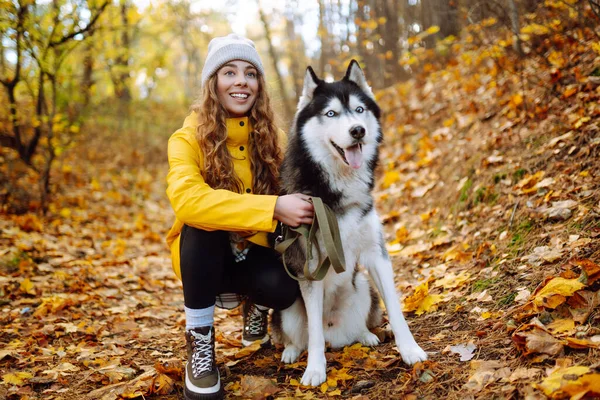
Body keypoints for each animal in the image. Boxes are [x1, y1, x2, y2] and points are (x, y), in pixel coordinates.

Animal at [272, 61, 426, 386]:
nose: (358, 131)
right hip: (287, 309)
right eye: (331, 113)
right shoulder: (310, 268)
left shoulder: (376, 256)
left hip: (364, 287)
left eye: (358, 109)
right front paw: (315, 370)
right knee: (303, 337)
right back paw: (292, 351)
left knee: (358, 326)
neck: (338, 186)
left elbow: (396, 310)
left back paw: (365, 335)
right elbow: (314, 334)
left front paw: (410, 350)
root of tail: (336, 335)